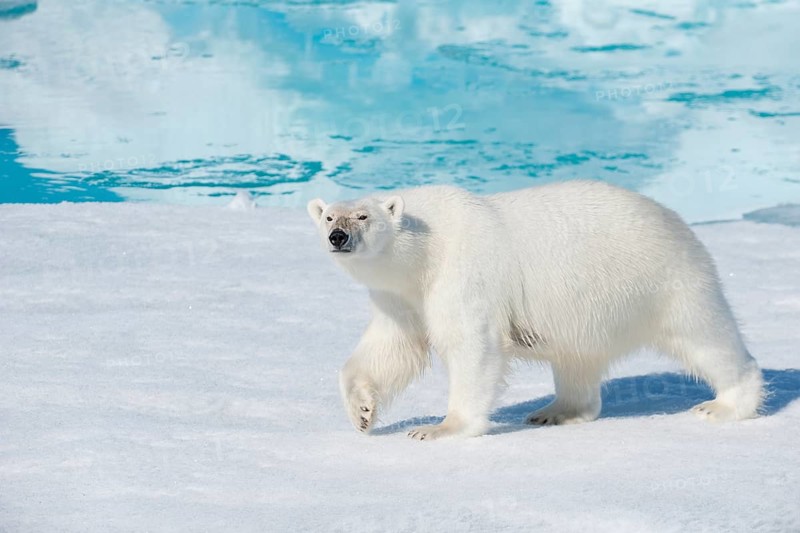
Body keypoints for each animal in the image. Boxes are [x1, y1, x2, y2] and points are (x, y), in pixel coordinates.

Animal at [306, 180, 763, 440]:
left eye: (362, 215)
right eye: (329, 215)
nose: (338, 236)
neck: (426, 248)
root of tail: (678, 221)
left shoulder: (464, 272)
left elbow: (473, 345)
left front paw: (438, 429)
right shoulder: (403, 295)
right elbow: (393, 346)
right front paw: (362, 413)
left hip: (663, 281)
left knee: (705, 337)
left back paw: (724, 404)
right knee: (576, 359)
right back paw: (557, 412)